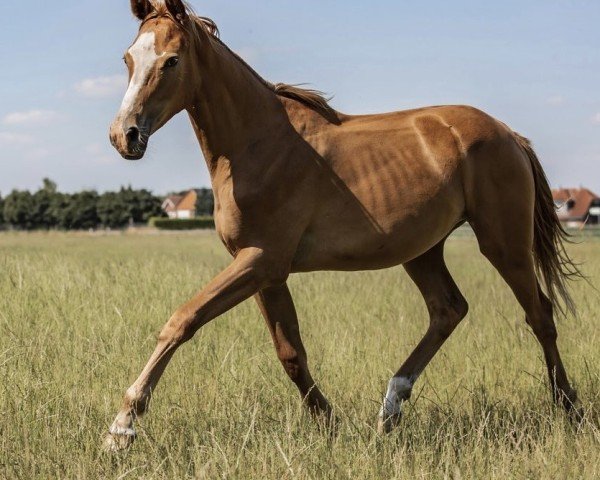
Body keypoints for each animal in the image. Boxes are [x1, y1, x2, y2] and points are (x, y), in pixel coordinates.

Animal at [105, 0, 584, 450]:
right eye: (128, 58)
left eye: (171, 60)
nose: (124, 136)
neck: (257, 145)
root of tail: (509, 134)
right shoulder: (265, 272)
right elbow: (291, 354)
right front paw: (330, 424)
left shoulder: (261, 261)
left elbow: (182, 320)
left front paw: (122, 426)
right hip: (422, 250)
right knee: (448, 309)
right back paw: (390, 409)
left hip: (504, 243)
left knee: (539, 315)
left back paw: (570, 410)